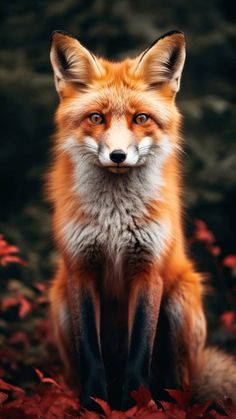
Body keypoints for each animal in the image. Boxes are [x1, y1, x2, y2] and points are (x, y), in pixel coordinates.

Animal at [48, 30, 236, 410]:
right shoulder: (80, 268)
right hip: (59, 302)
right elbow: (91, 353)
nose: (118, 155)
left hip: (181, 300)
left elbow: (140, 351)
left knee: (177, 381)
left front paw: (133, 403)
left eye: (141, 119)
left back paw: (166, 403)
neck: (114, 219)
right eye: (96, 118)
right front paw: (94, 403)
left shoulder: (148, 270)